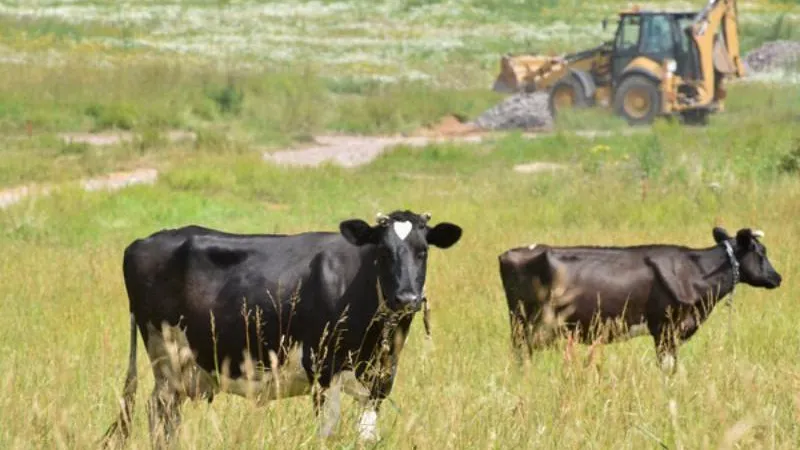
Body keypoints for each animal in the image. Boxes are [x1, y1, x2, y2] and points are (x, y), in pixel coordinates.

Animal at [104, 210, 462, 446]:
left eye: (423, 251)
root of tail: (142, 242)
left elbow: (367, 436)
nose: (407, 297)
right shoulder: (322, 371)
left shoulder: (380, 378)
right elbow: (327, 434)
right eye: (384, 252)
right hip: (167, 358)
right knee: (159, 415)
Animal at [500, 227, 780, 370]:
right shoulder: (665, 328)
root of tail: (510, 252)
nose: (778, 277)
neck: (695, 271)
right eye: (761, 252)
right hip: (524, 324)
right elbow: (668, 368)